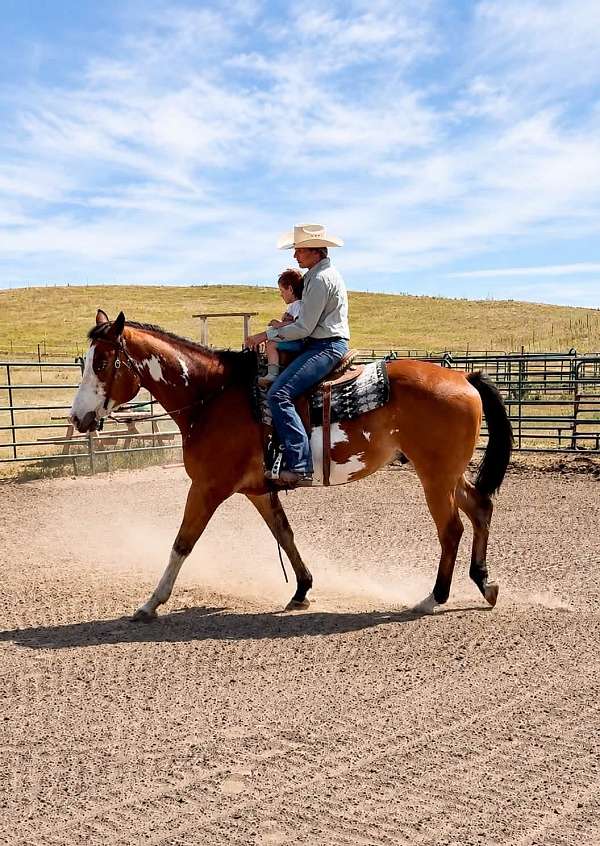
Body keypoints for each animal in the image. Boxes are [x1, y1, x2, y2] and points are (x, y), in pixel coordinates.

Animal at [70, 309, 513, 621]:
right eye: (86, 361)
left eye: (104, 362)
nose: (77, 417)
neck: (212, 397)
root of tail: (464, 378)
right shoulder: (257, 490)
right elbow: (285, 534)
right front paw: (302, 589)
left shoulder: (208, 487)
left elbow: (182, 543)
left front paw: (150, 603)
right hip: (449, 474)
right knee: (480, 508)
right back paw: (484, 583)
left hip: (434, 476)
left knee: (451, 529)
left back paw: (433, 598)